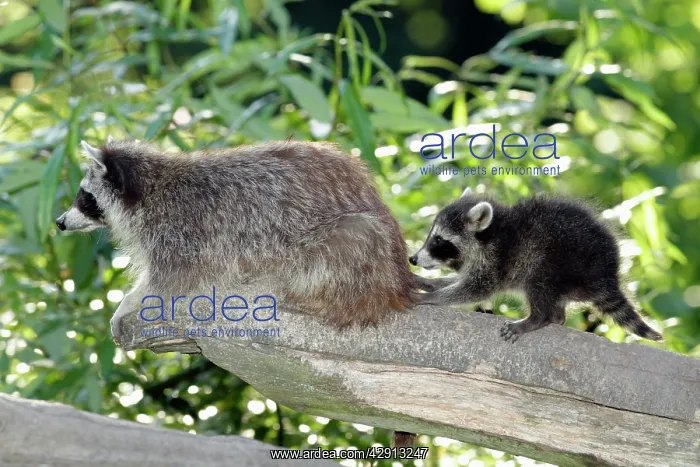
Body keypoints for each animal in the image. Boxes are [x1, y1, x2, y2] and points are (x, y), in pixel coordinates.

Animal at [56, 138, 419, 330]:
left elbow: (169, 282)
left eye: (85, 198)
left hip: (355, 249)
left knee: (347, 241)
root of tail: (399, 281)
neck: (153, 186)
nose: (59, 222)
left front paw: (129, 303)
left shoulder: (183, 230)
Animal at [410, 187, 663, 343]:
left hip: (557, 263)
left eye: (439, 240)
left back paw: (537, 319)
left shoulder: (496, 260)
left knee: (538, 283)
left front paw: (432, 297)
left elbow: (475, 289)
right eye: (433, 236)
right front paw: (430, 283)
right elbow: (460, 281)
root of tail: (608, 276)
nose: (413, 259)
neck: (491, 234)